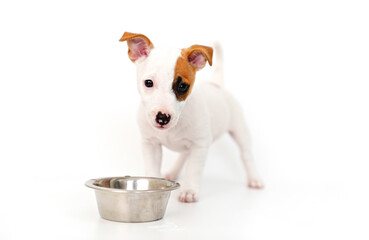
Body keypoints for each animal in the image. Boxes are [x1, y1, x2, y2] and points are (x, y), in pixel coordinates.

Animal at [119, 31, 264, 202]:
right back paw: (173, 171)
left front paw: (189, 190)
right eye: (148, 83)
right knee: (183, 155)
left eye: (183, 86)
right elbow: (153, 168)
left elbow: (193, 169)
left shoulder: (200, 146)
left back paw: (254, 178)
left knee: (246, 155)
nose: (162, 118)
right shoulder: (151, 144)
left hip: (239, 130)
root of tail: (216, 84)